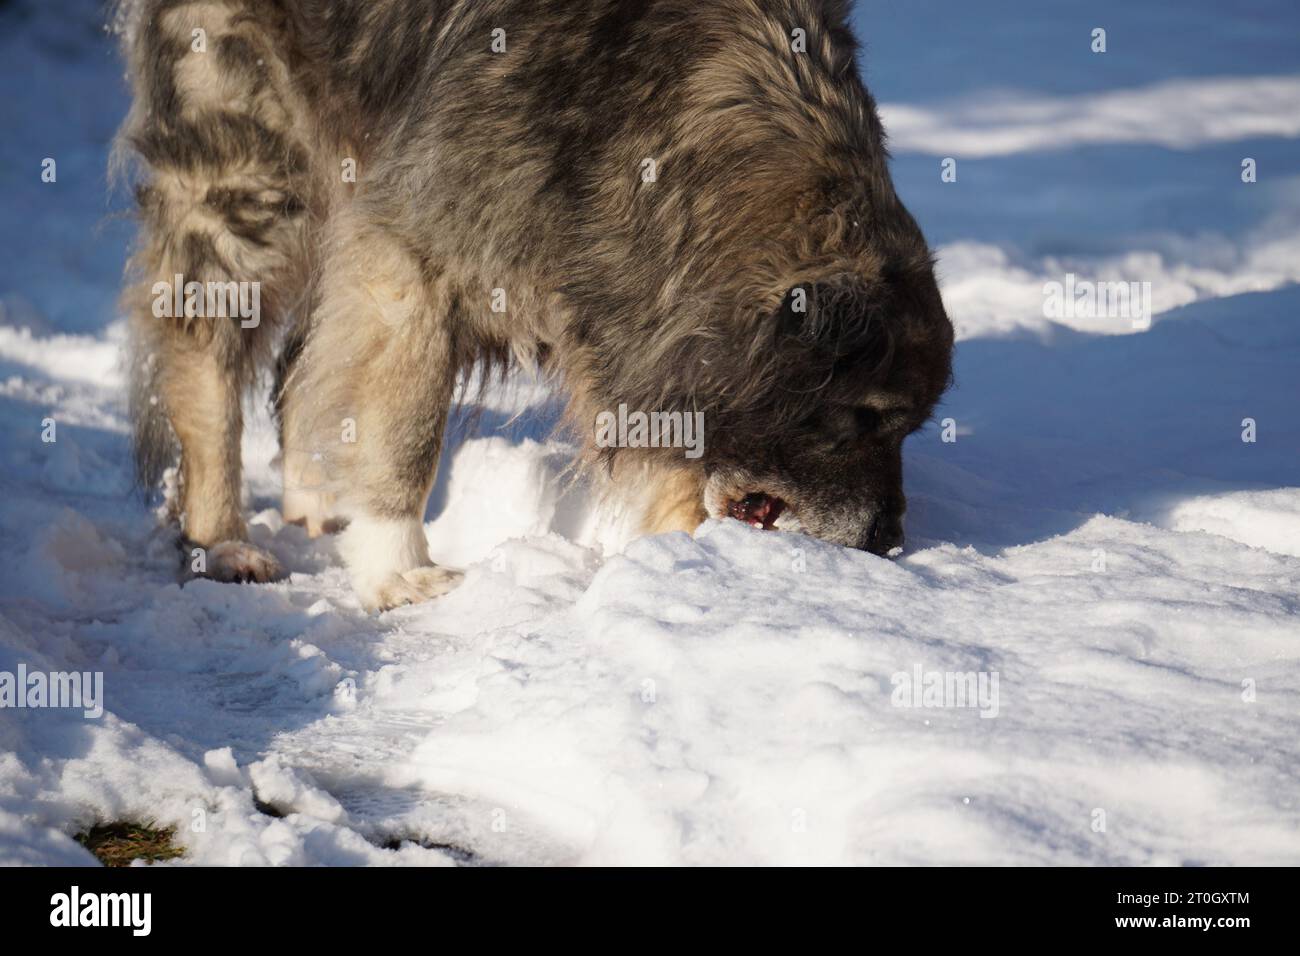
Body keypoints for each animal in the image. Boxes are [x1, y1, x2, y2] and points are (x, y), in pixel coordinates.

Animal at [114, 0, 956, 608]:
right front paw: (397, 571)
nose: (888, 541)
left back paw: (315, 500)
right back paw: (223, 540)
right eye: (867, 417)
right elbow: (406, 431)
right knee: (208, 360)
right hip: (254, 166)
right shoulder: (415, 256)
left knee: (302, 365)